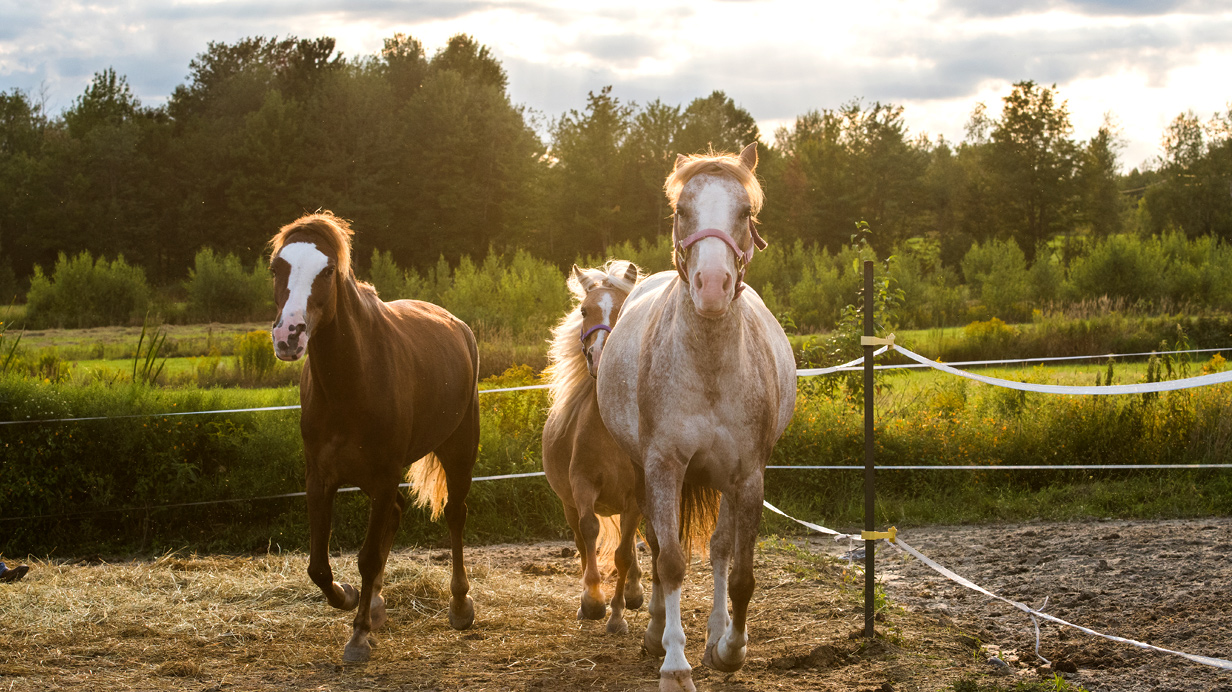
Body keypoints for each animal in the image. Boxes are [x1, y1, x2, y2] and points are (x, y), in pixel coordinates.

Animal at [269, 211, 480, 663]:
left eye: (328, 271)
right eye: (277, 268)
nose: (289, 335)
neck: (352, 380)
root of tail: (457, 326)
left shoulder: (384, 475)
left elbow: (366, 558)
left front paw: (359, 634)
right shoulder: (320, 478)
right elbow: (318, 565)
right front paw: (351, 599)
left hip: (457, 451)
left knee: (454, 515)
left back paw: (459, 606)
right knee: (398, 512)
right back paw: (379, 603)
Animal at [542, 260, 645, 635]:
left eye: (624, 308)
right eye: (584, 310)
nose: (599, 357)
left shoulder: (635, 498)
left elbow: (625, 554)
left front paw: (616, 615)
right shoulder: (582, 487)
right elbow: (589, 534)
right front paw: (592, 602)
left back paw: (636, 593)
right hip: (568, 503)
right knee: (581, 541)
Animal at [596, 143, 797, 692]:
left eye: (745, 212)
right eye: (681, 210)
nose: (711, 286)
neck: (708, 364)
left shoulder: (748, 475)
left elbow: (740, 569)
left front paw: (729, 648)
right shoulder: (664, 466)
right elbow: (669, 560)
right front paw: (674, 664)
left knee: (720, 549)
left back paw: (714, 635)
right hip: (644, 472)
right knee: (655, 544)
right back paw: (656, 633)